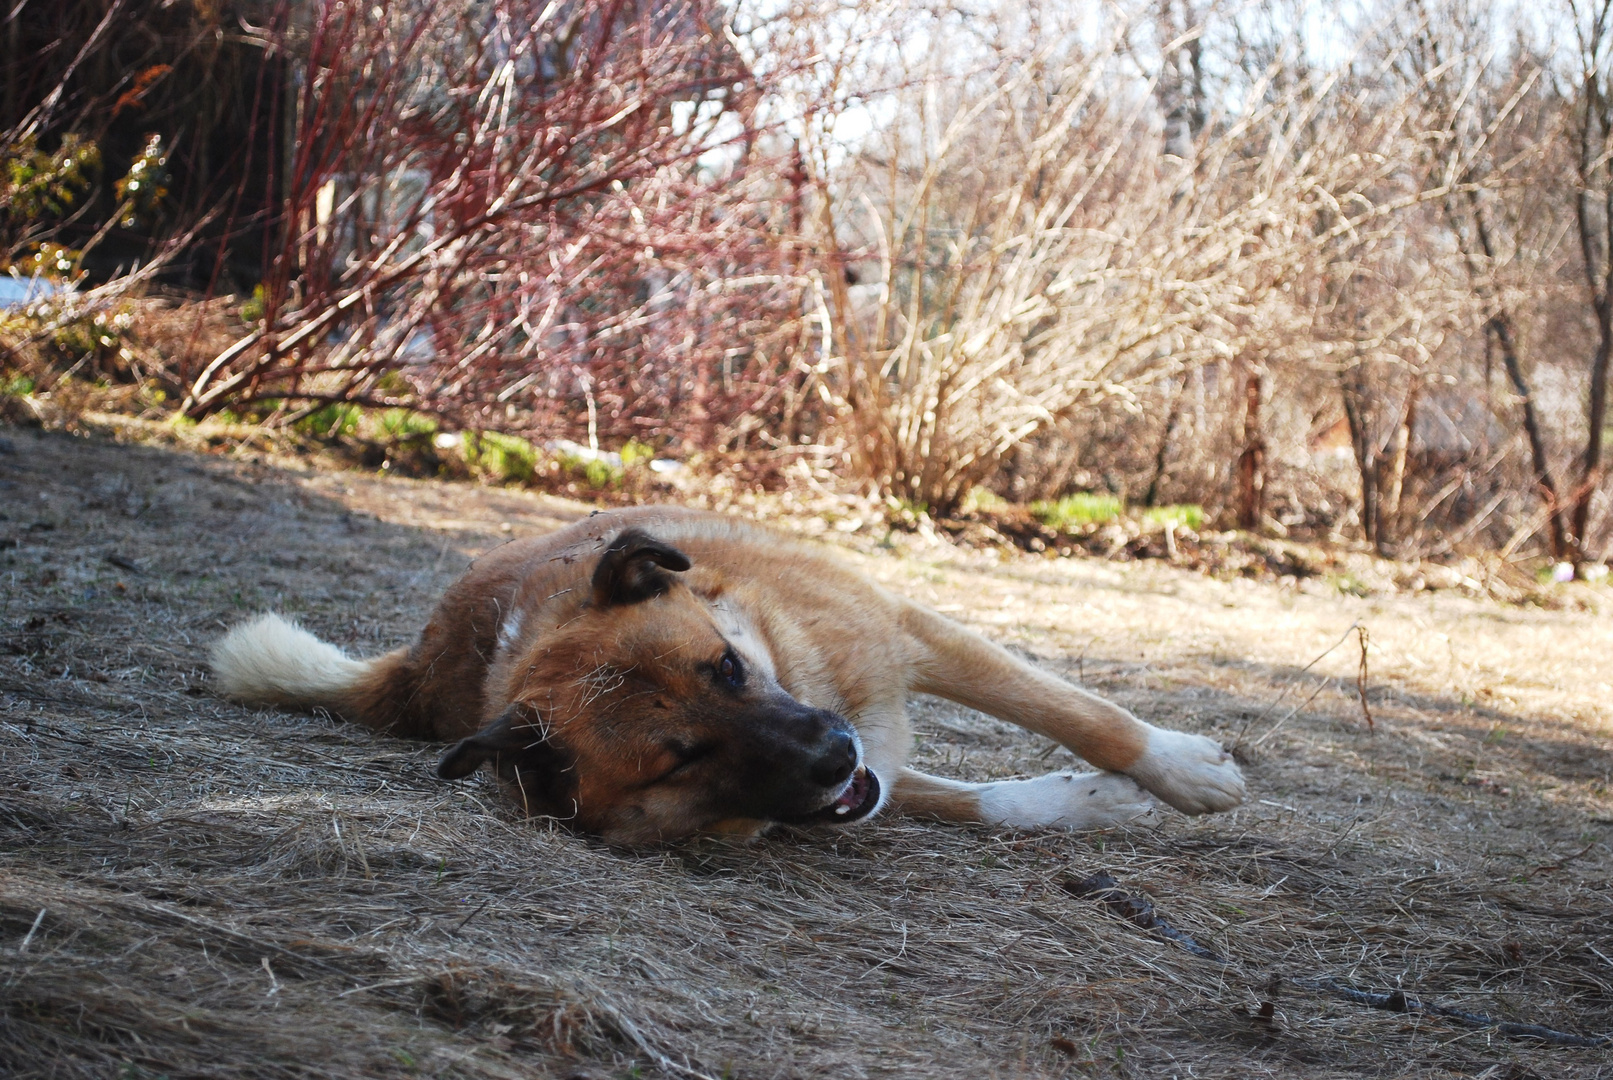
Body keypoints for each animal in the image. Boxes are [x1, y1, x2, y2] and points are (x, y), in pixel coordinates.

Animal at [211, 509, 1245, 844]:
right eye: (681, 758)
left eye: (729, 665)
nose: (832, 756)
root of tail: (424, 657)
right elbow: (954, 793)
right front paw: (1097, 799)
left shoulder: (905, 634)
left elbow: (1080, 710)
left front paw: (1176, 770)